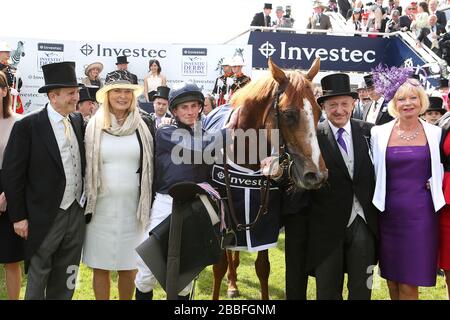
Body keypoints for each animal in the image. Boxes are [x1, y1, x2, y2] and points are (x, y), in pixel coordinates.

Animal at [206, 58, 328, 300]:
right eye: (289, 114)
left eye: (319, 112)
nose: (316, 175)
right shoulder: (224, 217)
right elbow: (219, 266)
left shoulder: (263, 222)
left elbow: (262, 268)